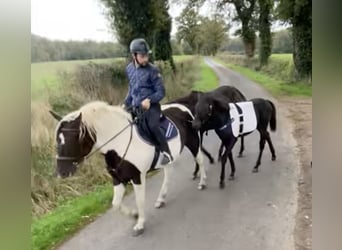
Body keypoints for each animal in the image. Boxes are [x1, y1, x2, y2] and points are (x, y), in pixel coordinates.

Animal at [49, 100, 207, 235]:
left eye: (71, 138)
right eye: (57, 140)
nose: (61, 173)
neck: (119, 143)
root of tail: (183, 107)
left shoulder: (137, 177)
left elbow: (139, 201)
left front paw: (140, 224)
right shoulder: (118, 179)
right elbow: (116, 204)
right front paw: (134, 215)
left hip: (193, 142)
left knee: (200, 160)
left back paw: (202, 182)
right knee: (169, 174)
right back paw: (161, 199)